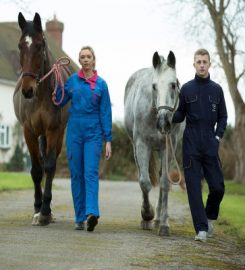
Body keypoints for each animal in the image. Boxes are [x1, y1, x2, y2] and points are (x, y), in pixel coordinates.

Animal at [13, 11, 69, 225]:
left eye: (39, 45)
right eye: (20, 45)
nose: (28, 90)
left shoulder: (54, 130)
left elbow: (50, 167)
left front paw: (45, 211)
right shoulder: (29, 132)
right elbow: (36, 171)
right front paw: (38, 208)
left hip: (57, 135)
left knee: (49, 165)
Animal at [124, 50, 184, 236]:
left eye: (173, 85)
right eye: (154, 86)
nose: (164, 122)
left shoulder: (168, 147)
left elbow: (165, 183)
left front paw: (164, 224)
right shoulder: (142, 145)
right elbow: (145, 182)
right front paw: (146, 215)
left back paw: (157, 220)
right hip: (136, 148)